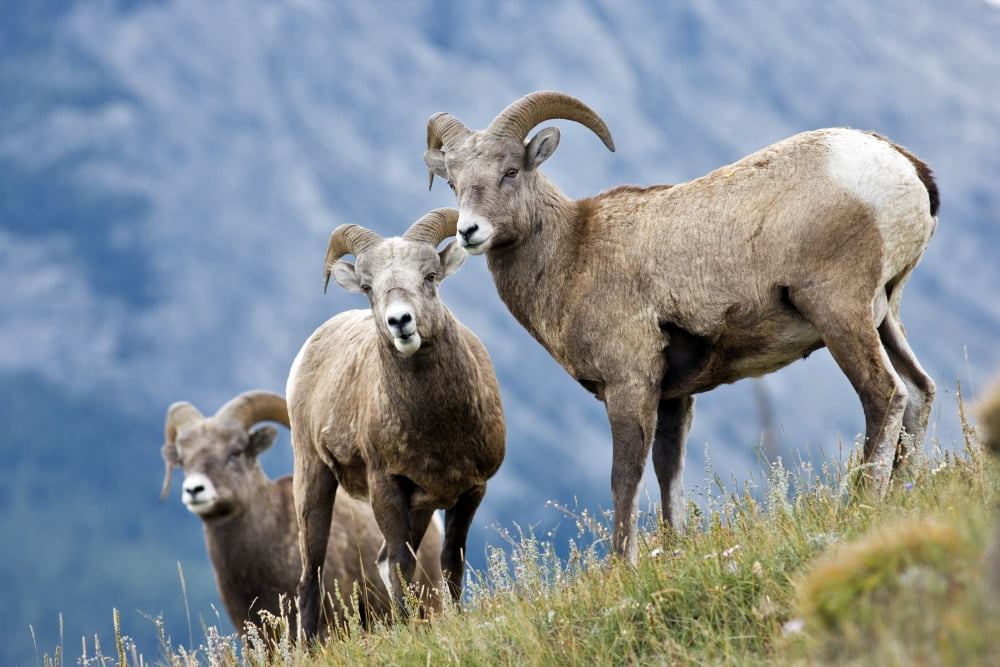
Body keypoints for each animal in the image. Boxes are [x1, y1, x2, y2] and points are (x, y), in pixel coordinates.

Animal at [287, 208, 505, 641]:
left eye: (430, 276)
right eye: (368, 287)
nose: (400, 322)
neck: (439, 429)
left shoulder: (470, 490)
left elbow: (450, 562)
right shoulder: (386, 486)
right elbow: (404, 566)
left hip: (420, 508)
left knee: (383, 560)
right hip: (314, 478)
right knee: (312, 577)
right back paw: (310, 647)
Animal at [423, 90, 939, 562]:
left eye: (511, 171)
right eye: (453, 183)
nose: (469, 232)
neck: (574, 255)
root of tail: (902, 166)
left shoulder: (630, 386)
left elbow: (625, 478)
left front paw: (624, 565)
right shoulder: (674, 397)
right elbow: (667, 471)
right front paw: (673, 551)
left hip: (839, 311)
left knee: (884, 393)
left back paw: (862, 501)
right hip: (885, 312)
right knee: (918, 390)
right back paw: (902, 491)